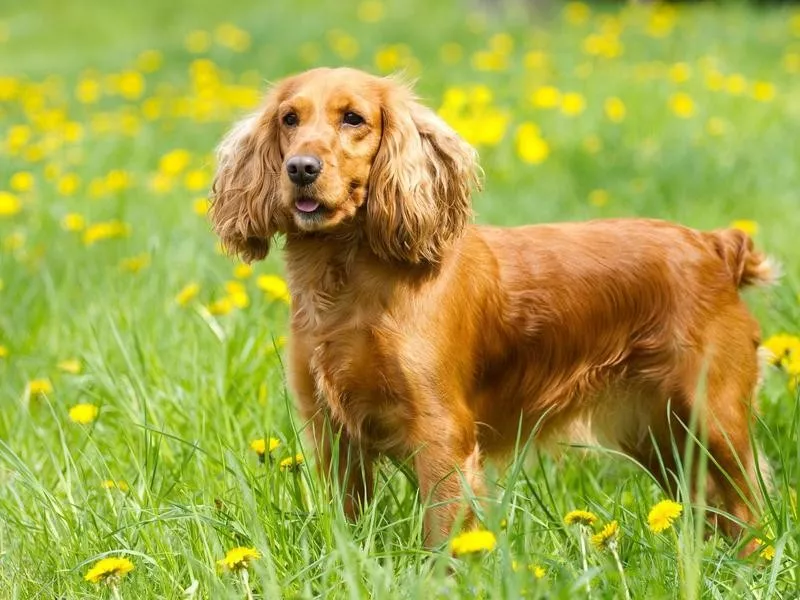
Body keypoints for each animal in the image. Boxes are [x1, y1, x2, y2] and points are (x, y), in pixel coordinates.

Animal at [209, 67, 772, 548]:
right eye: (289, 118)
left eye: (353, 118)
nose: (301, 168)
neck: (349, 282)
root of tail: (715, 246)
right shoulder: (332, 432)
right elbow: (350, 526)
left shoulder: (441, 433)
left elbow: (444, 535)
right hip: (659, 436)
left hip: (713, 418)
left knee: (747, 507)